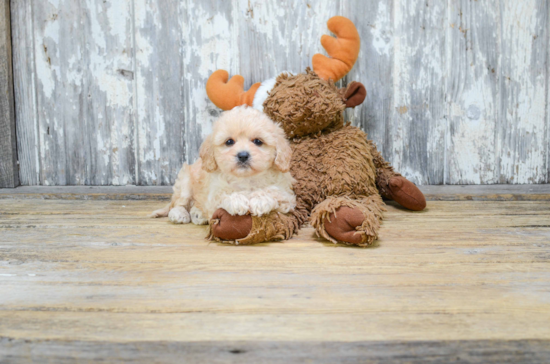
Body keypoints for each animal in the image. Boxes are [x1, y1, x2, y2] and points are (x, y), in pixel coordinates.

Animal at [151, 105, 296, 225]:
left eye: (258, 141)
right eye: (229, 142)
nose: (243, 155)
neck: (246, 178)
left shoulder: (288, 198)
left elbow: (275, 192)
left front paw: (260, 200)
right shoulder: (214, 195)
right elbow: (223, 195)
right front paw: (237, 201)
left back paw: (198, 215)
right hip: (185, 180)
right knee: (178, 203)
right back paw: (180, 214)